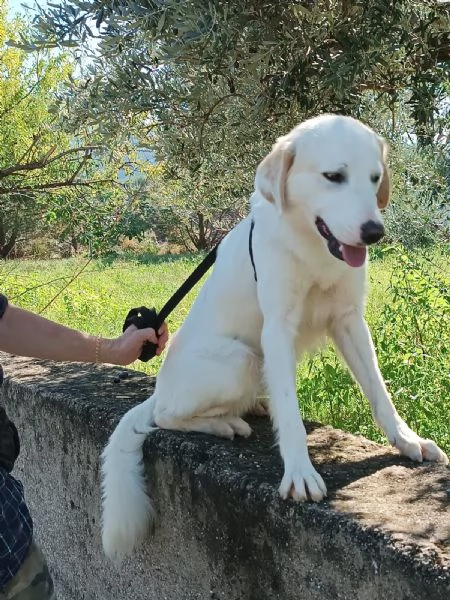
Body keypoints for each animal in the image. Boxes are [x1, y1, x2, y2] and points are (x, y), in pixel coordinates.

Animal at [100, 115, 448, 560]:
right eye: (333, 177)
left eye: (375, 179)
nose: (375, 232)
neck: (314, 248)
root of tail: (159, 389)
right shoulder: (278, 329)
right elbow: (292, 413)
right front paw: (299, 471)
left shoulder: (350, 321)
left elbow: (378, 392)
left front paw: (406, 440)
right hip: (243, 359)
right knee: (165, 416)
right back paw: (225, 425)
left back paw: (252, 408)